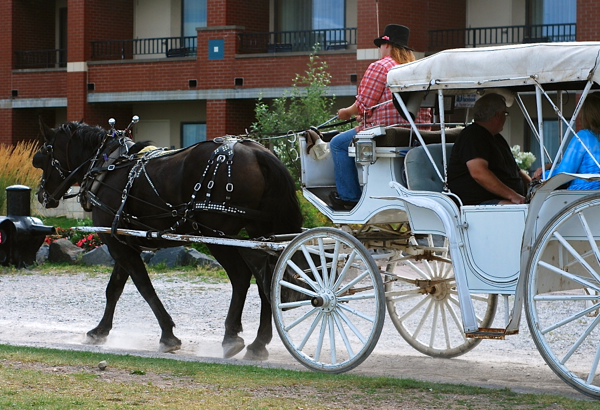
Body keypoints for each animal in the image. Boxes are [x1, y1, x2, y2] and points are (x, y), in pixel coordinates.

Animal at [32, 118, 302, 358]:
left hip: (215, 234)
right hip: (259, 233)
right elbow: (115, 288)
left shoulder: (116, 243)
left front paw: (168, 335)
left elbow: (143, 287)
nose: (41, 195)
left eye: (42, 158)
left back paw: (231, 337)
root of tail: (257, 152)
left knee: (242, 276)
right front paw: (100, 332)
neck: (106, 167)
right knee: (267, 278)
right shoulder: (123, 240)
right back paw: (259, 343)